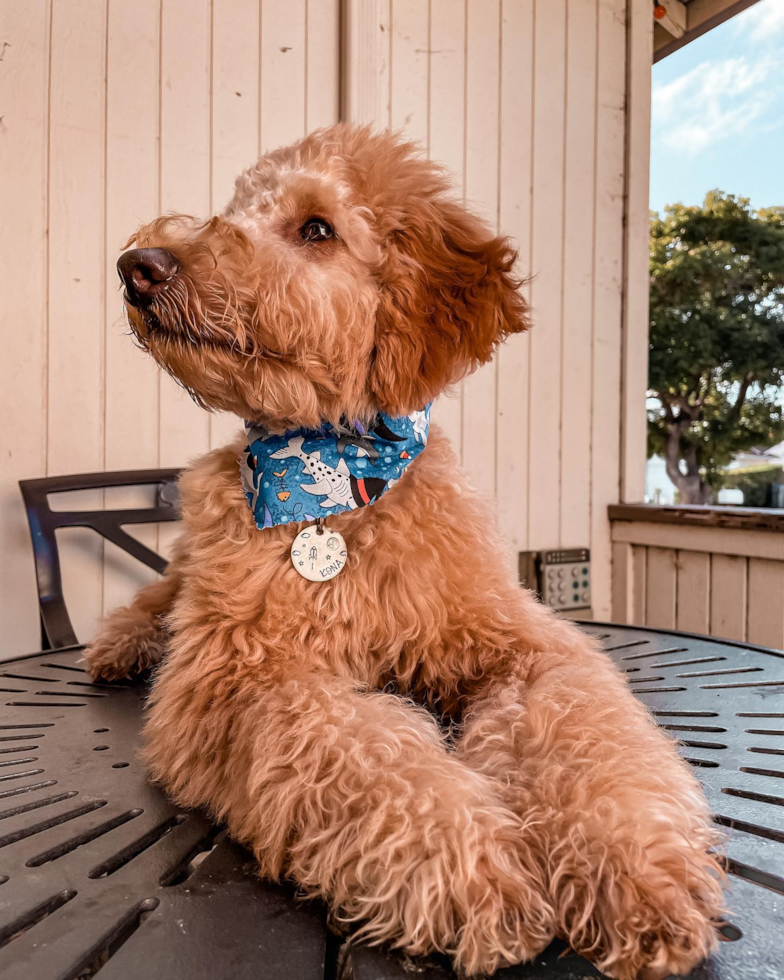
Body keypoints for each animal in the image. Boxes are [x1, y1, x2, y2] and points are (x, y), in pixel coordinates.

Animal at [86, 126, 724, 976]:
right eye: (235, 209)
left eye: (315, 228)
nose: (139, 265)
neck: (338, 483)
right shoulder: (235, 681)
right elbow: (356, 751)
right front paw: (473, 866)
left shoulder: (526, 643)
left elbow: (584, 727)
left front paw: (635, 863)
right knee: (158, 598)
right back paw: (120, 645)